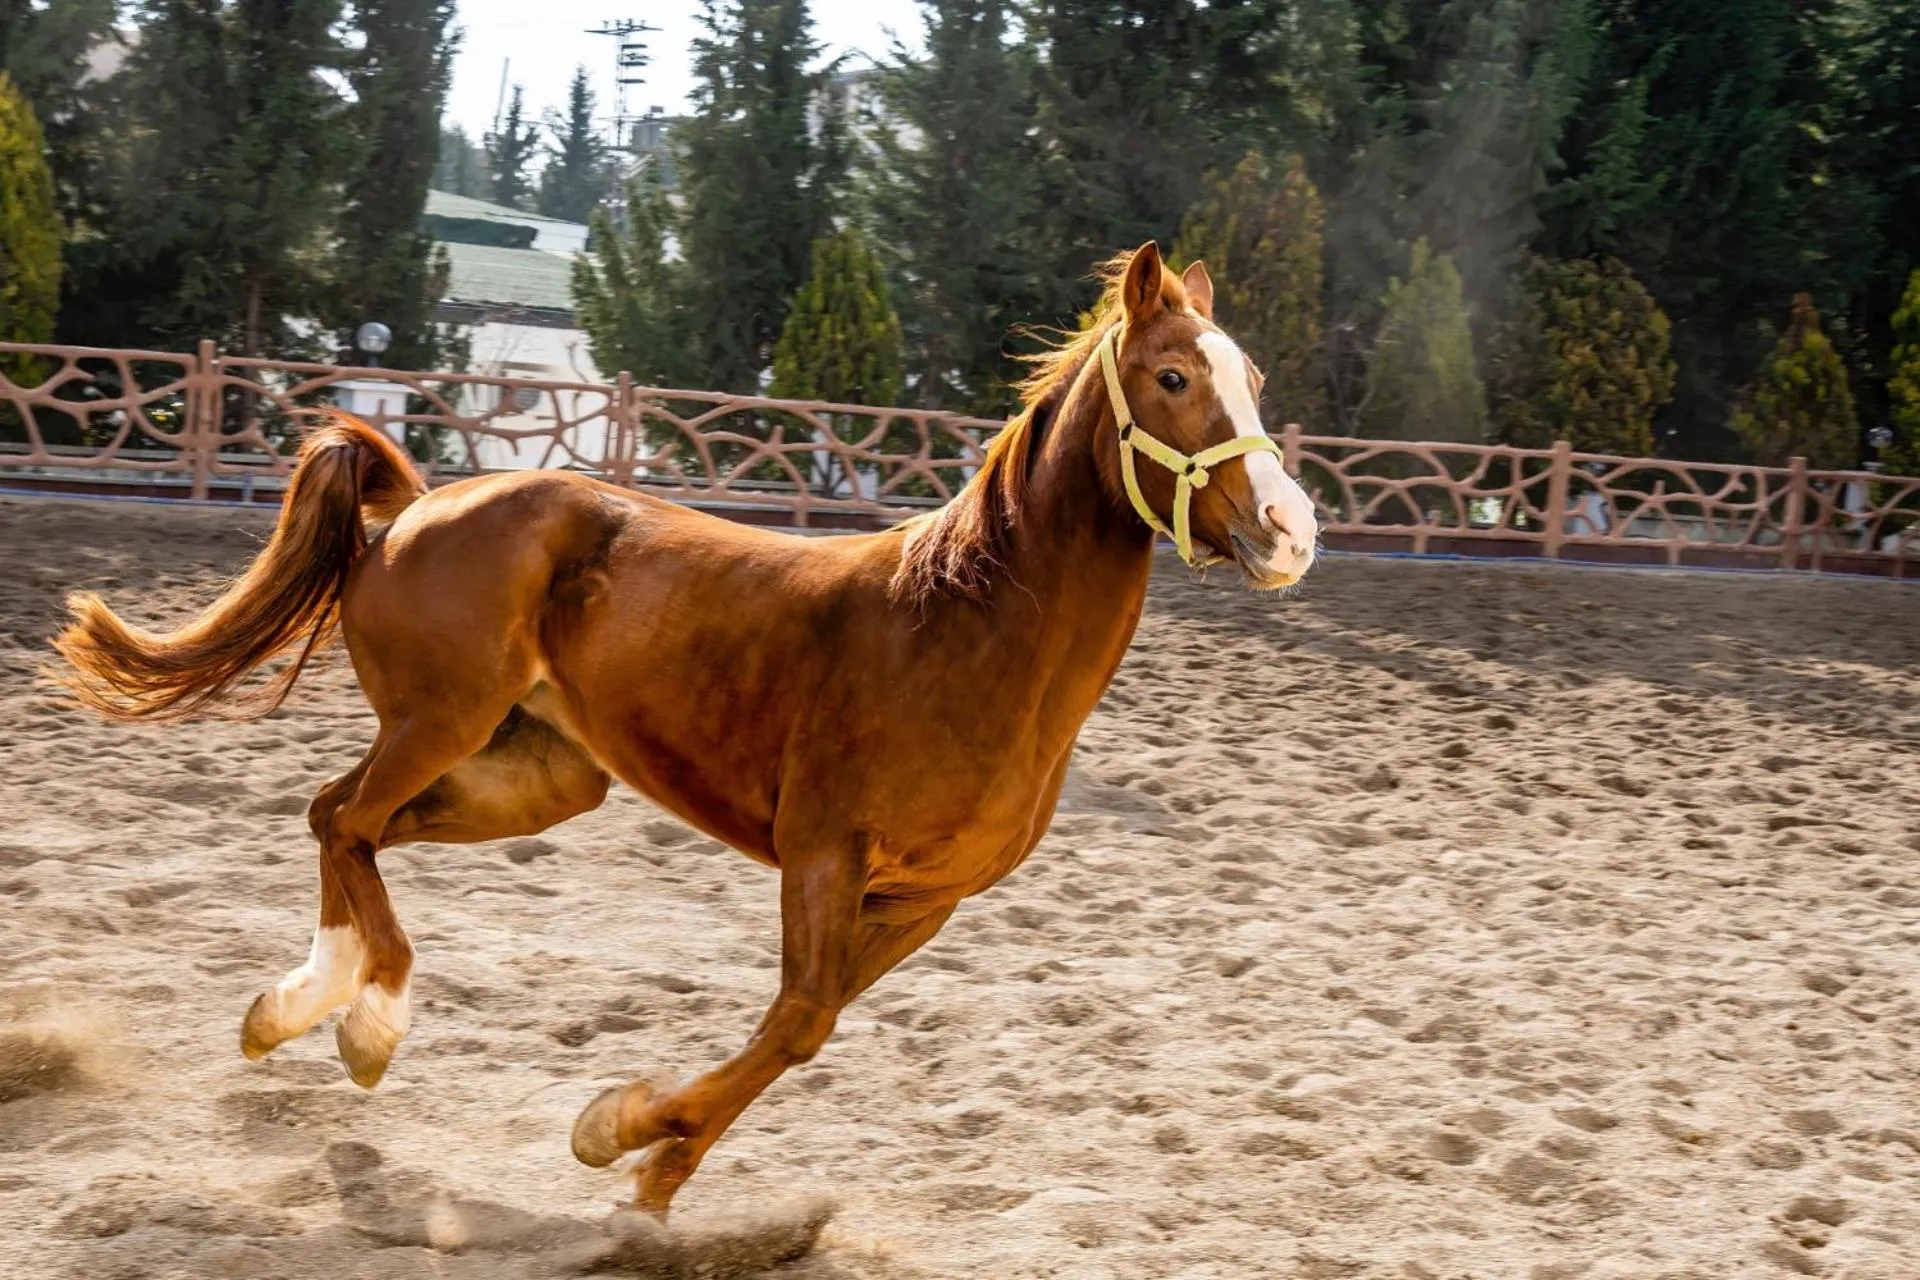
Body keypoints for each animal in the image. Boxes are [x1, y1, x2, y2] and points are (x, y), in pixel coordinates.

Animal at [51, 242, 1318, 1214]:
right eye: (1170, 375)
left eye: (1253, 375)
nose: (1290, 528)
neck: (967, 630)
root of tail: (414, 505)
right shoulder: (823, 849)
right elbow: (799, 1020)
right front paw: (619, 1134)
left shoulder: (925, 897)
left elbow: (806, 1027)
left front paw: (653, 1175)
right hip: (440, 717)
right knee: (344, 817)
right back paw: (367, 1021)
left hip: (540, 774)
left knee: (344, 820)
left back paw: (295, 1011)